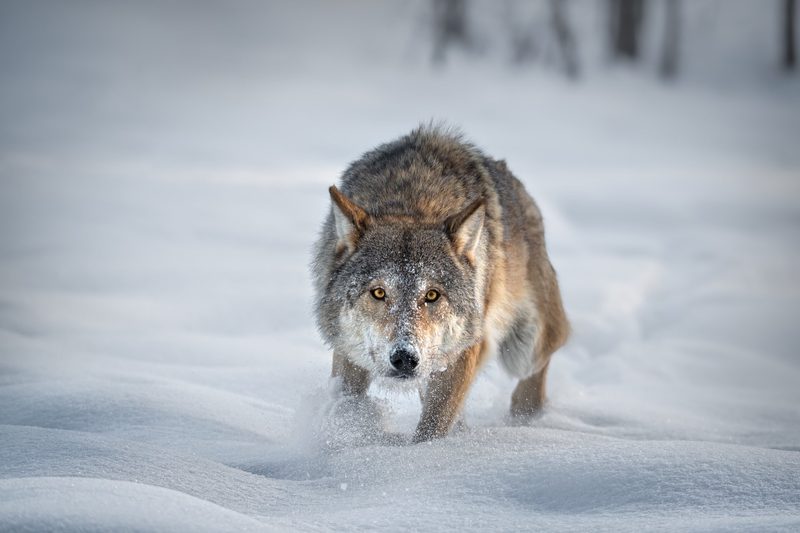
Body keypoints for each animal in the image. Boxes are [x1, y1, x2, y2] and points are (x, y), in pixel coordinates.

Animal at [312, 125, 569, 442]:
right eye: (379, 292)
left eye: (432, 295)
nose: (405, 358)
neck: (413, 203)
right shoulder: (349, 351)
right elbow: (348, 403)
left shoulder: (464, 351)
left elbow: (432, 427)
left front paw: (427, 453)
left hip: (525, 348)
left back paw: (524, 420)